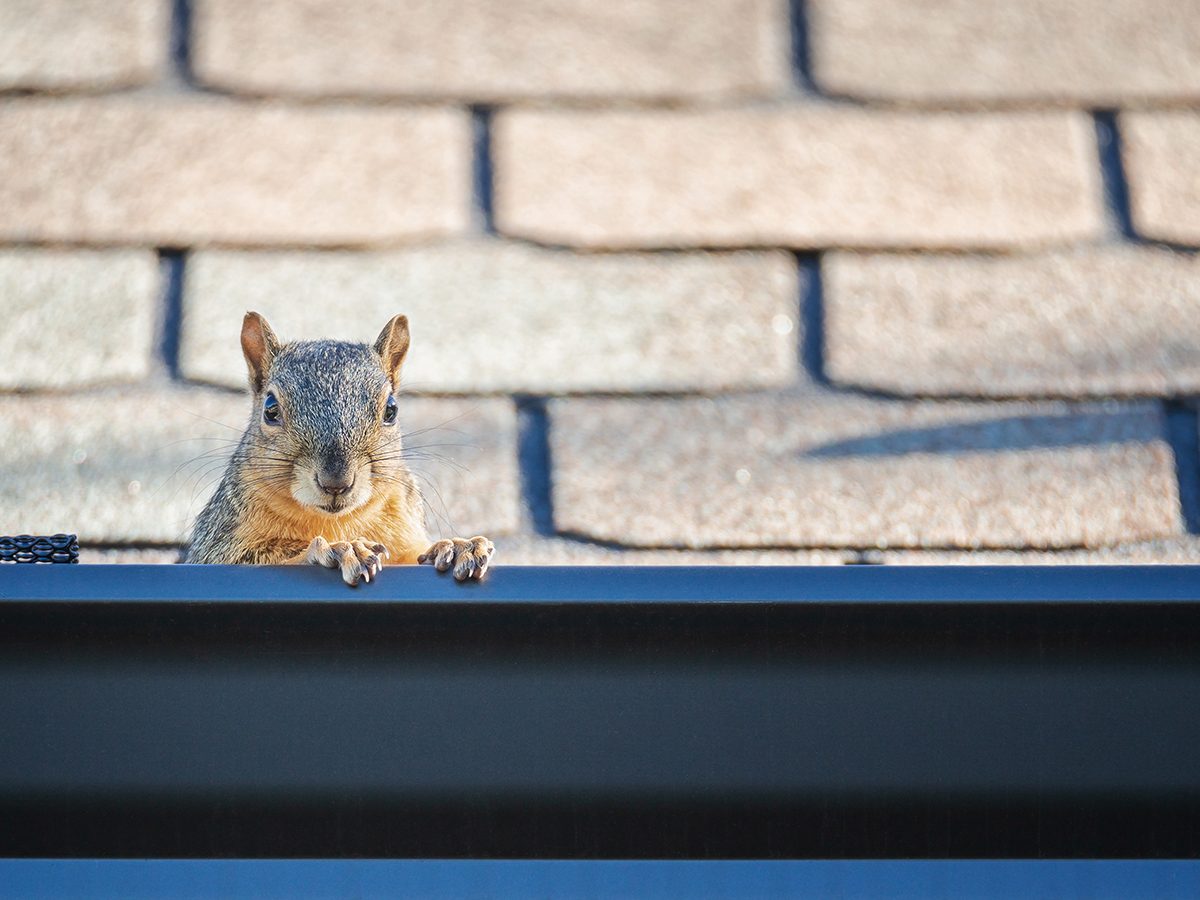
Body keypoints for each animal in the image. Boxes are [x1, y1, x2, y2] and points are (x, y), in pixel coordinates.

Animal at [184, 314, 494, 588]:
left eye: (391, 409)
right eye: (270, 409)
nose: (336, 482)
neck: (337, 521)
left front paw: (455, 546)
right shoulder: (218, 546)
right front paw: (339, 549)